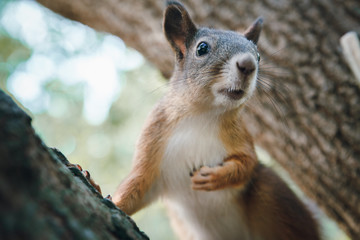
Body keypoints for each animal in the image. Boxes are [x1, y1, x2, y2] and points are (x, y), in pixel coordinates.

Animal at [87, 1, 320, 240]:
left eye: (258, 56)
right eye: (202, 48)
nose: (248, 65)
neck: (202, 114)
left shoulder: (240, 136)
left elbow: (248, 163)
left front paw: (216, 176)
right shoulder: (153, 138)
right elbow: (135, 187)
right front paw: (101, 191)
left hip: (272, 195)